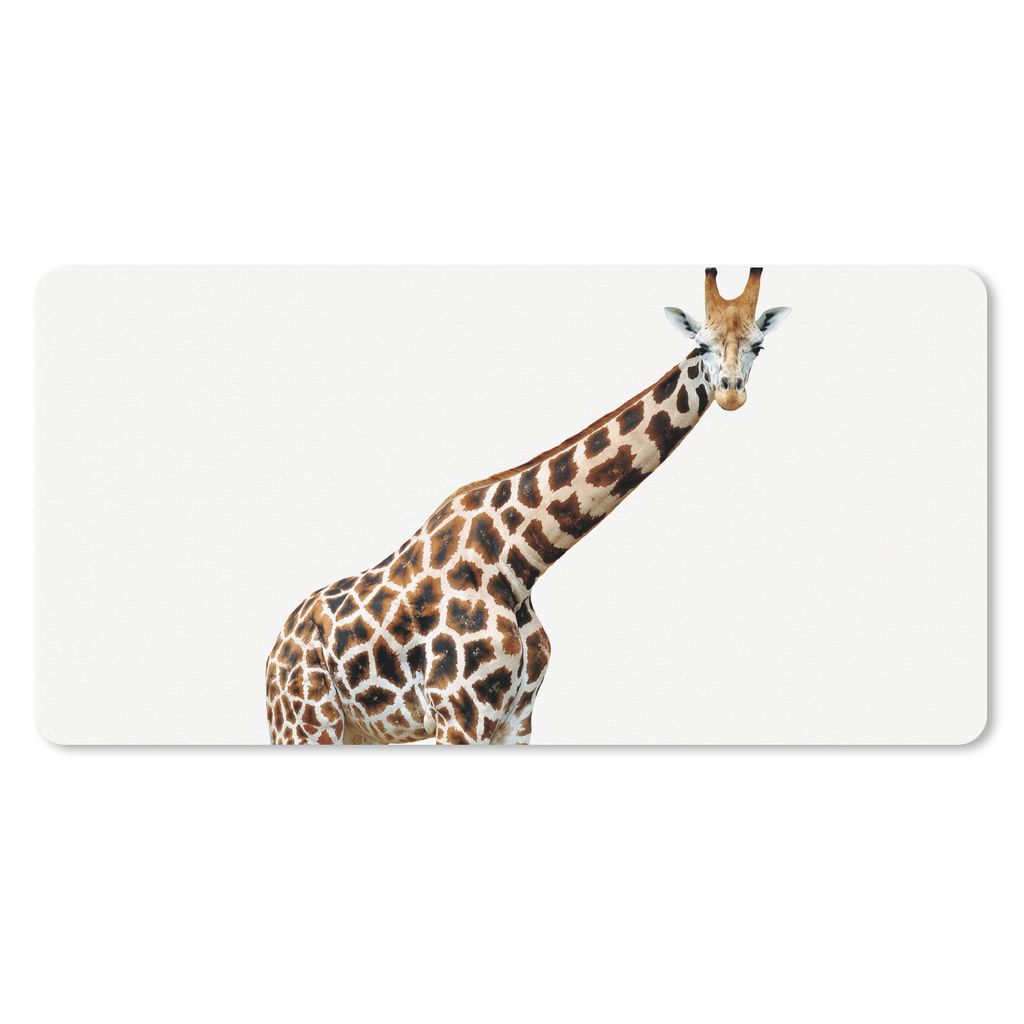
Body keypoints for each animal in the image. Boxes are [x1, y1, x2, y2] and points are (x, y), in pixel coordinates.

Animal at [266, 268, 791, 744]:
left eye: (758, 346)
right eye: (700, 345)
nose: (730, 392)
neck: (517, 563)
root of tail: (277, 646)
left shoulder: (517, 718)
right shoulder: (460, 716)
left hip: (357, 731)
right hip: (305, 723)